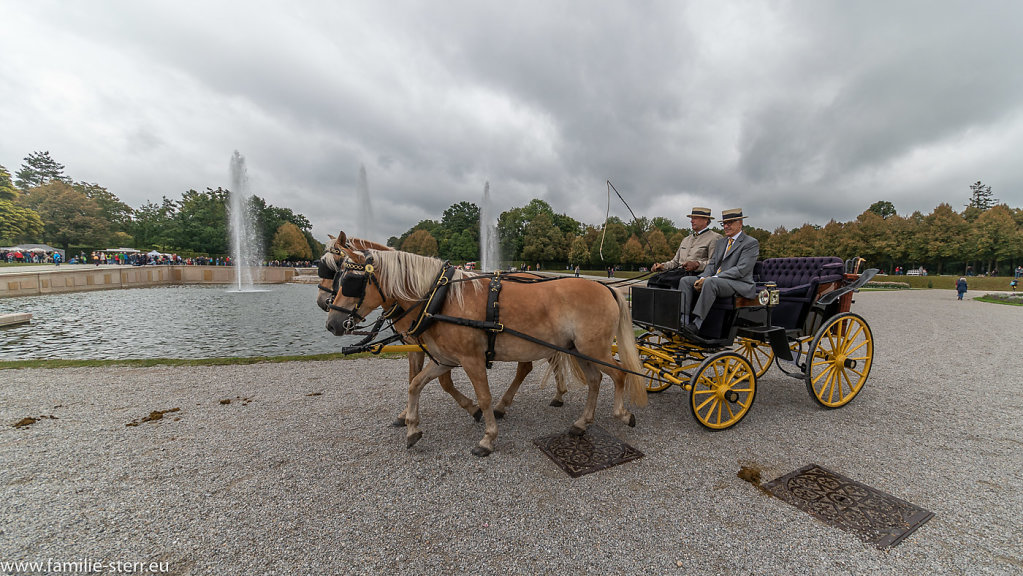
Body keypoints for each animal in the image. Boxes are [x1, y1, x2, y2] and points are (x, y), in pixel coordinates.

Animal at [313, 230, 564, 423]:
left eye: (343, 276)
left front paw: (473, 409)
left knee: (532, 366)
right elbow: (414, 377)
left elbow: (443, 381)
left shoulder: (441, 348)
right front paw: (407, 413)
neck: (429, 295)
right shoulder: (419, 346)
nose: (329, 318)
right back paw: (557, 394)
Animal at [325, 246, 646, 456]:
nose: (331, 322)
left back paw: (622, 413)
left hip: (594, 348)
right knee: (595, 380)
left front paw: (488, 438)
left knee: (618, 376)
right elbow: (415, 384)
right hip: (579, 350)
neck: (439, 297)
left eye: (350, 282)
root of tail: (605, 287)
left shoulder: (472, 359)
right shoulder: (444, 359)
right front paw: (412, 427)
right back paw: (581, 422)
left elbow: (484, 396)